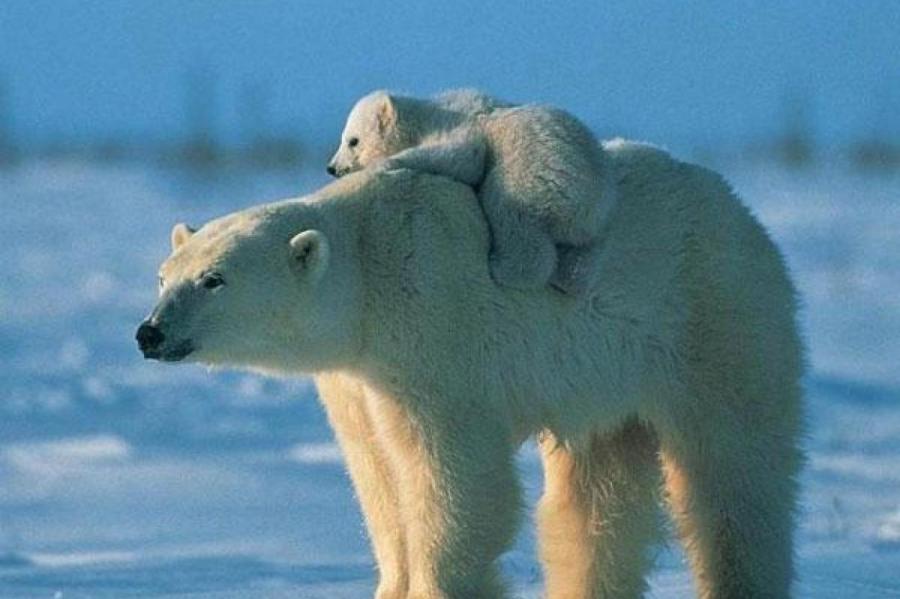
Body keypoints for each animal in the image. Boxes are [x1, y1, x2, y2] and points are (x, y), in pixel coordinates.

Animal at [139, 142, 800, 599]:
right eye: (165, 275)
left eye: (214, 279)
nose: (150, 333)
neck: (368, 269)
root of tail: (738, 208)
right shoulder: (357, 378)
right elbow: (377, 475)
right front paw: (390, 582)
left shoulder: (432, 333)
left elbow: (453, 473)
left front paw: (438, 584)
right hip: (605, 381)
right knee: (597, 496)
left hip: (714, 317)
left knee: (735, 471)